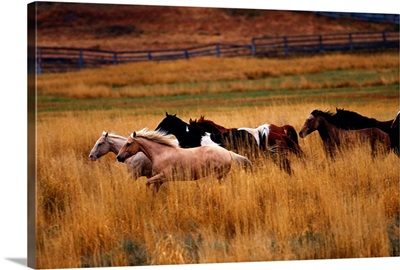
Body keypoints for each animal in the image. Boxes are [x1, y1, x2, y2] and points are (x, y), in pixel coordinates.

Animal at [115, 128, 252, 193]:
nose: (119, 157)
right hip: (220, 177)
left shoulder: (163, 176)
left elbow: (147, 183)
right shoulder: (160, 180)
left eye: (128, 144)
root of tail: (228, 153)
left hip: (215, 176)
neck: (161, 153)